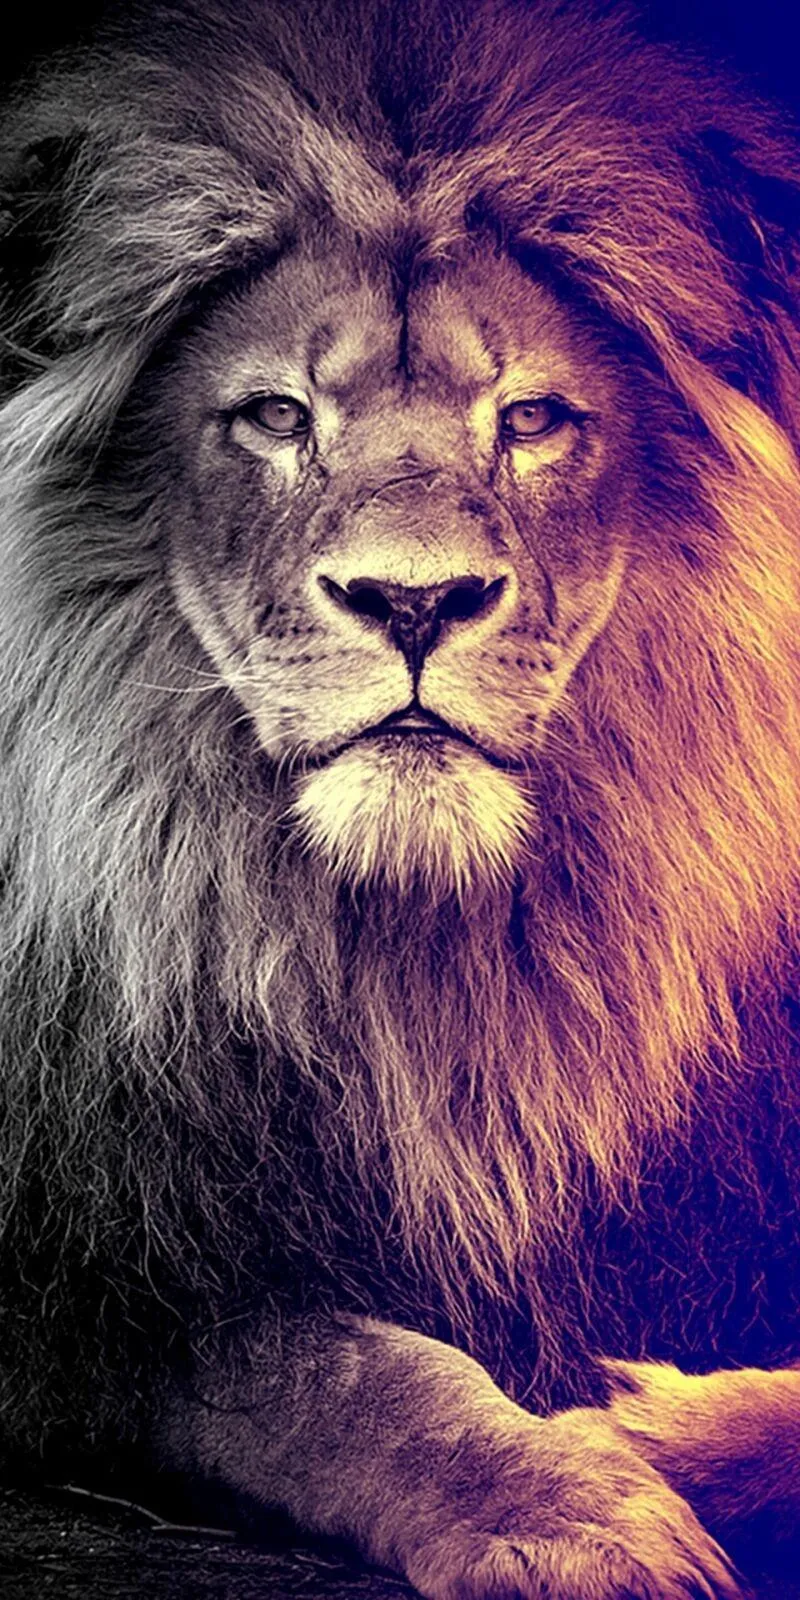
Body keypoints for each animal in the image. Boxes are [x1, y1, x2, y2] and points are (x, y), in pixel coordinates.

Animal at [2, 0, 800, 1594]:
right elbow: (332, 1365)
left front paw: (644, 1429)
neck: (406, 959)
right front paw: (566, 1502)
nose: (414, 600)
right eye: (272, 416)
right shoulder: (100, 1290)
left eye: (535, 419)